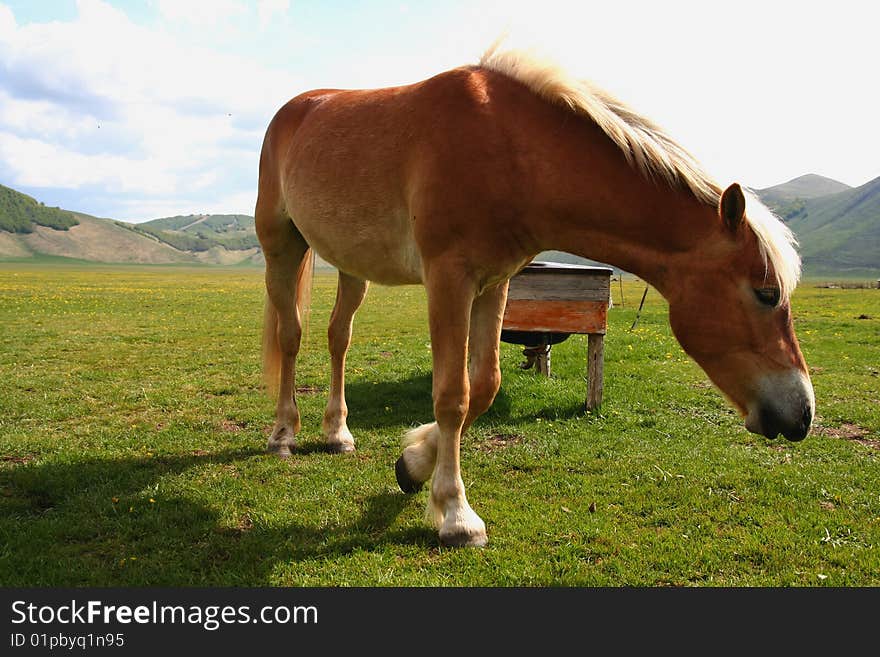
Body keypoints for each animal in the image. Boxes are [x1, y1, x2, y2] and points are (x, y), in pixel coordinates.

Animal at [253, 46, 812, 544]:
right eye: (766, 293)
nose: (802, 415)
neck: (510, 150)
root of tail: (295, 109)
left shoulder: (492, 282)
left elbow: (484, 385)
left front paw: (413, 463)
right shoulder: (448, 280)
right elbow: (452, 394)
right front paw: (456, 514)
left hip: (353, 267)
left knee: (338, 338)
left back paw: (336, 433)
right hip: (281, 247)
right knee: (291, 336)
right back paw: (283, 435)